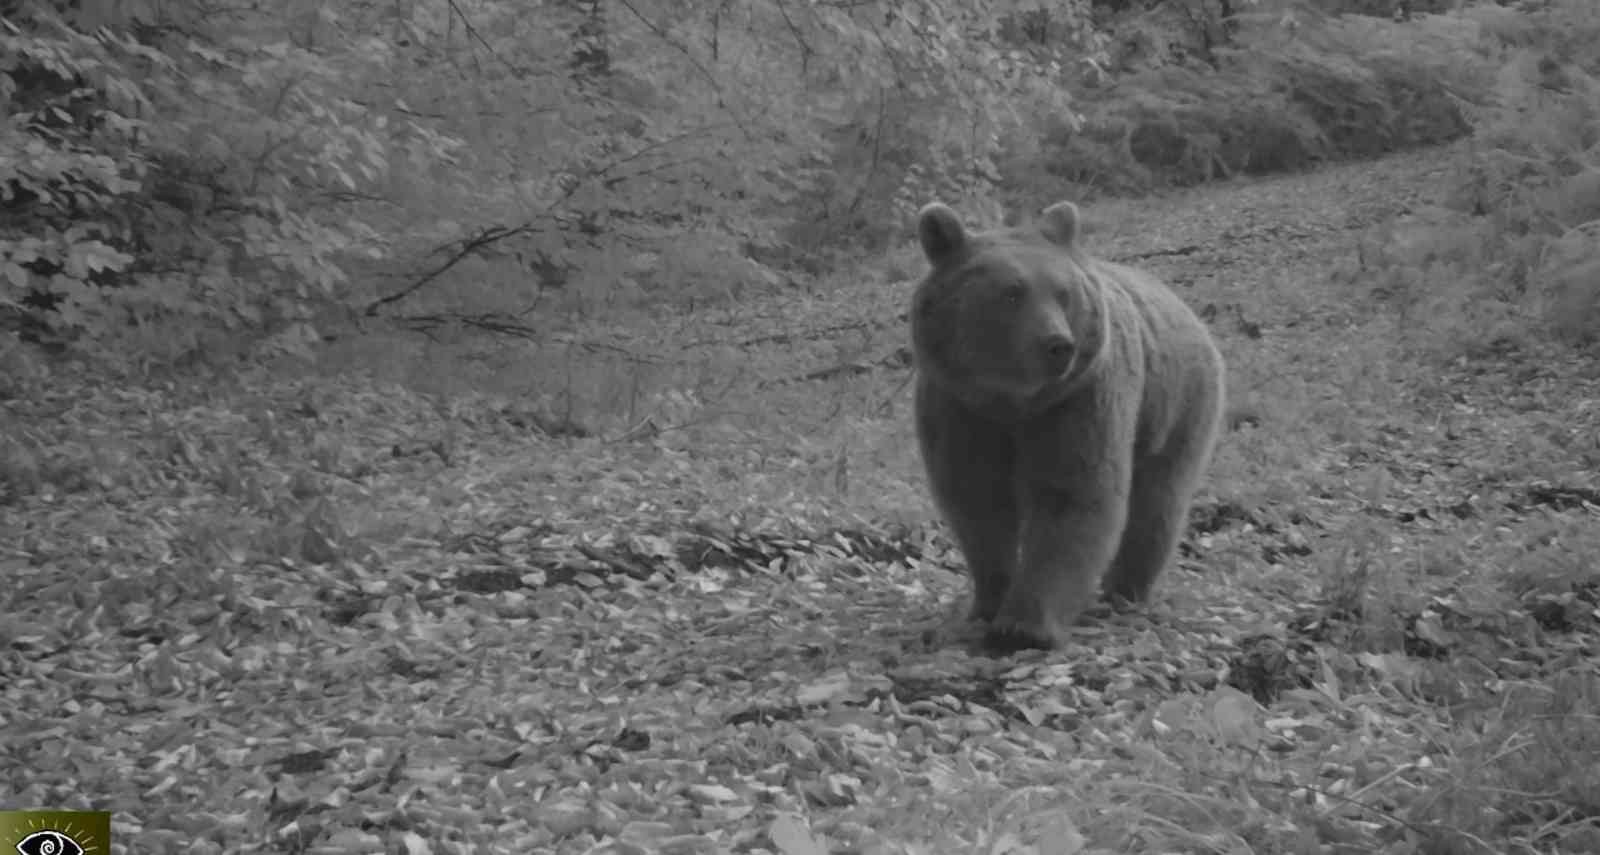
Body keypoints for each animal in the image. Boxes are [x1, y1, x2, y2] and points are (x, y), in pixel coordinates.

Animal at [915, 200, 1222, 653]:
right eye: (1012, 292)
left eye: (1063, 293)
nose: (1058, 345)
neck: (1011, 402)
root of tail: (1184, 308)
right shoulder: (960, 408)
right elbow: (977, 503)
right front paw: (989, 601)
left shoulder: (1077, 402)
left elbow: (1072, 496)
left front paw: (1023, 625)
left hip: (1176, 405)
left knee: (1158, 502)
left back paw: (1125, 591)